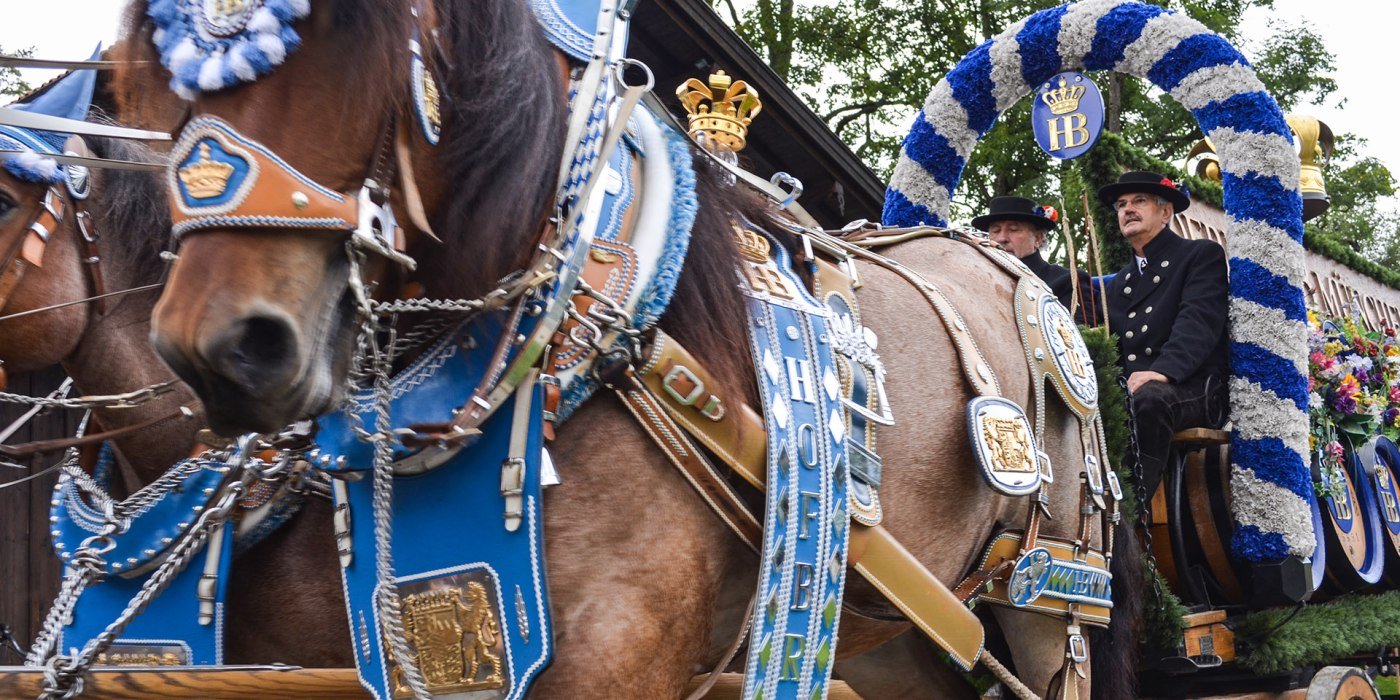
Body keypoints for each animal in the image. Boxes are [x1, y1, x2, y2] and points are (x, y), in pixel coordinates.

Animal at [117, 2, 1136, 697]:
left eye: (355, 42)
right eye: (148, 80)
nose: (227, 348)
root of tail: (1004, 262)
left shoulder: (617, 655)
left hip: (1048, 597)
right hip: (896, 630)